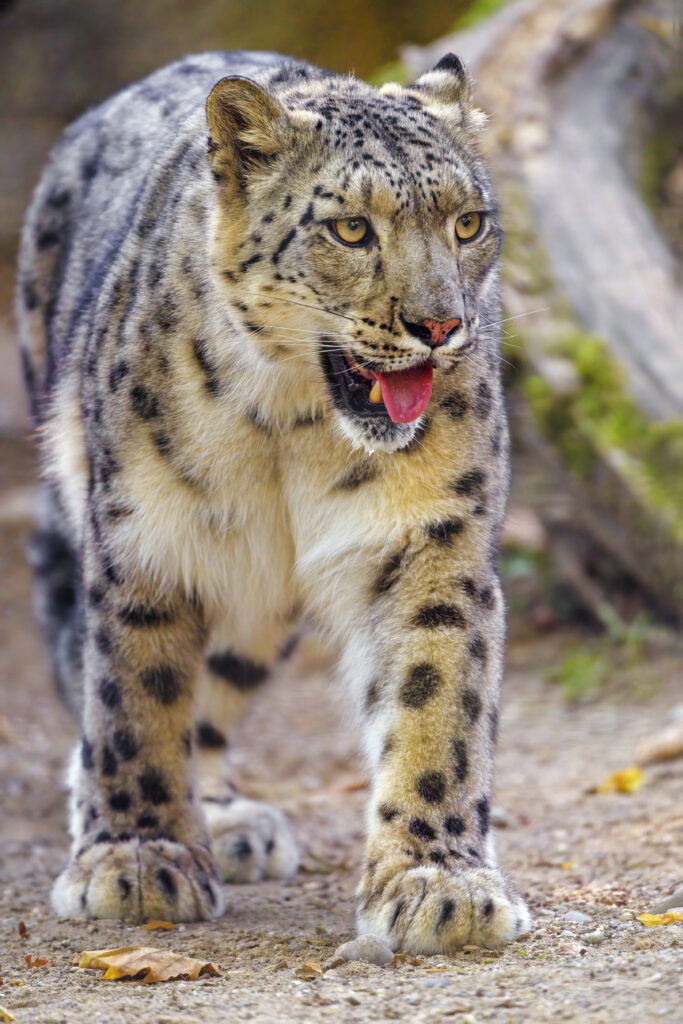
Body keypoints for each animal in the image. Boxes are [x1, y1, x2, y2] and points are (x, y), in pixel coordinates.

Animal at [16, 48, 531, 954]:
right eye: (351, 229)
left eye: (467, 223)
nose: (441, 326)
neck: (292, 425)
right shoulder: (145, 539)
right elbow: (134, 693)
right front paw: (137, 859)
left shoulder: (434, 539)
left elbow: (436, 699)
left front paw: (438, 881)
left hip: (258, 605)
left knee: (219, 684)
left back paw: (227, 819)